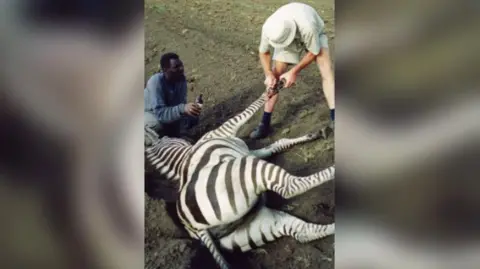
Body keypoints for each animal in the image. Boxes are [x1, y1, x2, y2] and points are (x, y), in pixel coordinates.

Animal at [144, 84, 336, 268]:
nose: (199, 100)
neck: (183, 157)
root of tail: (195, 228)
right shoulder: (230, 132)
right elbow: (251, 109)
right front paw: (274, 87)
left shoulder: (251, 152)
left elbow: (277, 144)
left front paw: (315, 134)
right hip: (248, 170)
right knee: (290, 188)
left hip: (255, 228)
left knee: (304, 232)